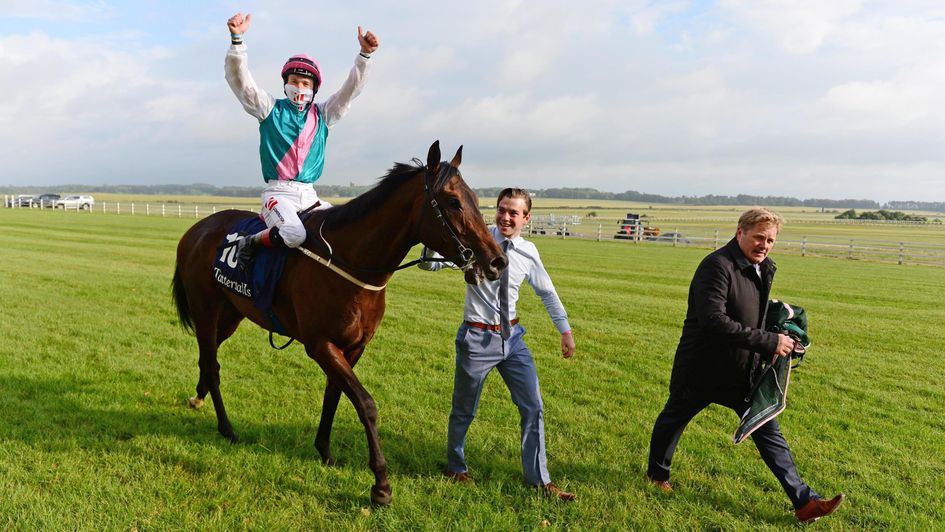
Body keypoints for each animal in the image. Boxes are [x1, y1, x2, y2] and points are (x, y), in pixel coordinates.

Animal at [172, 140, 506, 502]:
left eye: (475, 198)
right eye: (453, 201)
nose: (496, 261)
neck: (350, 261)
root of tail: (195, 230)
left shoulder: (354, 346)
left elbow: (334, 393)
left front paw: (325, 451)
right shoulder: (321, 344)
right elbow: (365, 403)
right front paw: (381, 484)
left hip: (232, 313)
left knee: (207, 356)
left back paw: (199, 395)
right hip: (206, 309)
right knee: (212, 363)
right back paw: (227, 428)